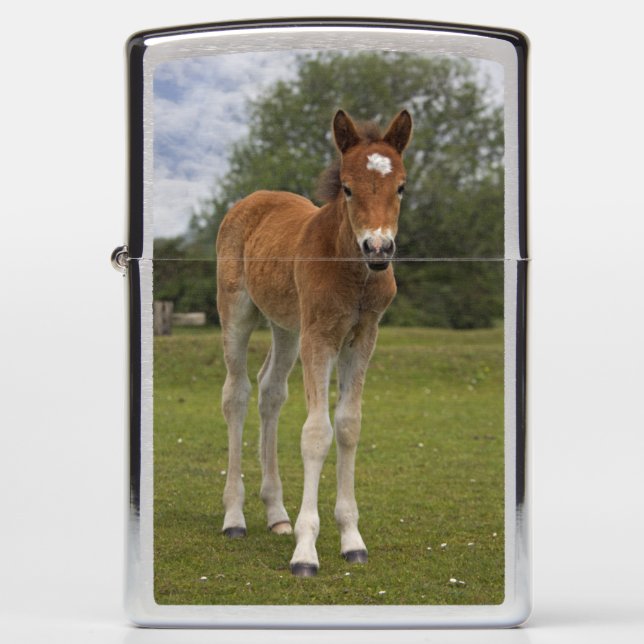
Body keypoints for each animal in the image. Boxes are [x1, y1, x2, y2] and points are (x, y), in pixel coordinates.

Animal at [215, 109, 413, 576]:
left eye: (401, 186)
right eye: (347, 187)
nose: (378, 249)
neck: (354, 272)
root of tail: (251, 200)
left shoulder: (362, 337)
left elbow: (348, 426)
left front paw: (352, 540)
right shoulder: (320, 337)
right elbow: (316, 432)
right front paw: (306, 551)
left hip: (287, 327)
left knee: (270, 391)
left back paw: (276, 515)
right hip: (237, 312)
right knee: (237, 394)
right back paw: (234, 517)